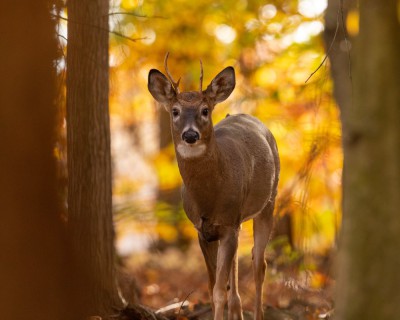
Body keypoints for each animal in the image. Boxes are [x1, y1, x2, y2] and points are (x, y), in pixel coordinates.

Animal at [148, 54, 280, 320]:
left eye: (205, 110)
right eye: (175, 111)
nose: (190, 135)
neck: (209, 198)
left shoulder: (228, 223)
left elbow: (219, 290)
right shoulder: (203, 230)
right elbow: (212, 287)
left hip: (268, 202)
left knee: (259, 263)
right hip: (237, 221)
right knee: (238, 267)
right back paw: (237, 311)